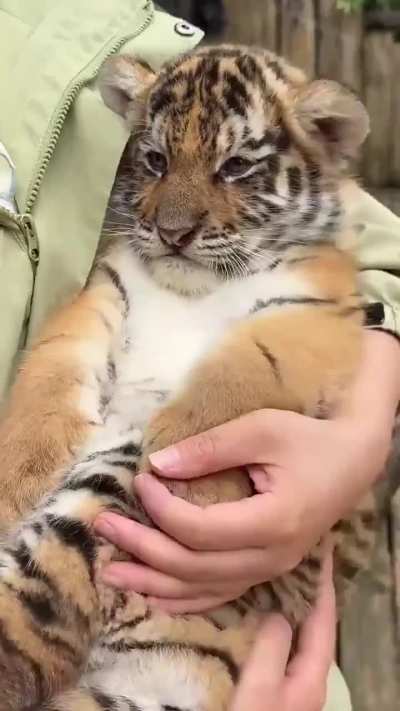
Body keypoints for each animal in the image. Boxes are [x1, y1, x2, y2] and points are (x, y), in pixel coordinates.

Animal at [0, 44, 377, 711]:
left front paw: (184, 473)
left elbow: (247, 370)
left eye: (234, 168)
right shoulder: (104, 293)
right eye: (156, 160)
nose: (174, 234)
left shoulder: (313, 312)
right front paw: (17, 476)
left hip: (104, 498)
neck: (192, 287)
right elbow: (54, 367)